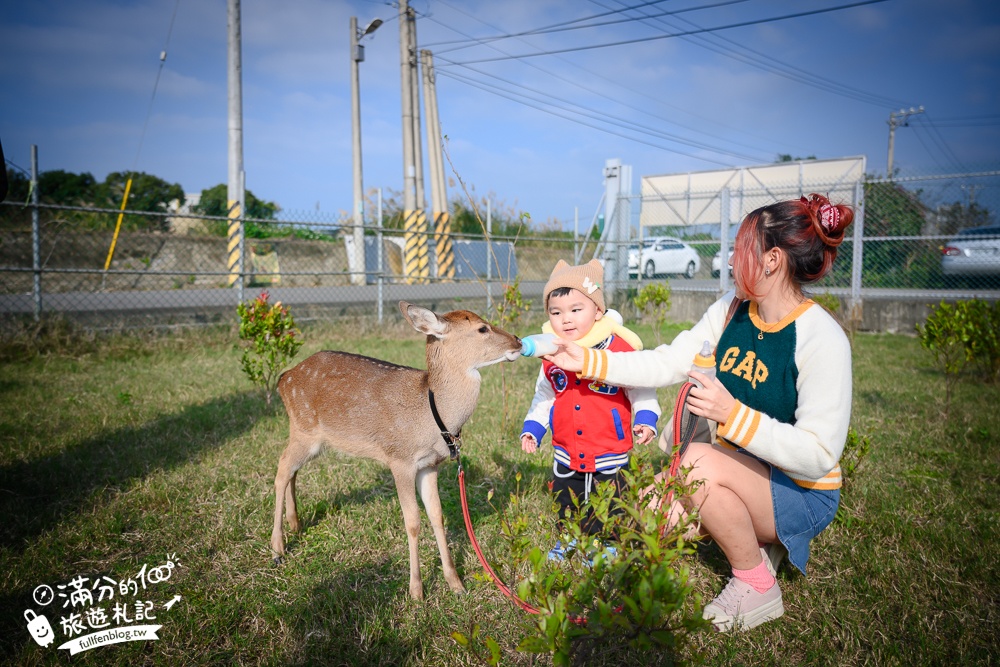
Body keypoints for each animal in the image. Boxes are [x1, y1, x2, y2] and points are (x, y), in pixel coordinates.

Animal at [274, 302, 524, 600]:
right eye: (482, 328)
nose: (518, 341)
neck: (433, 417)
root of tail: (284, 378)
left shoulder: (430, 465)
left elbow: (437, 515)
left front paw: (456, 583)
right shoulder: (400, 459)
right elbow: (413, 521)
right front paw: (416, 591)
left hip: (309, 438)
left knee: (292, 470)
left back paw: (295, 523)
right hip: (304, 429)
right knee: (281, 468)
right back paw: (278, 547)